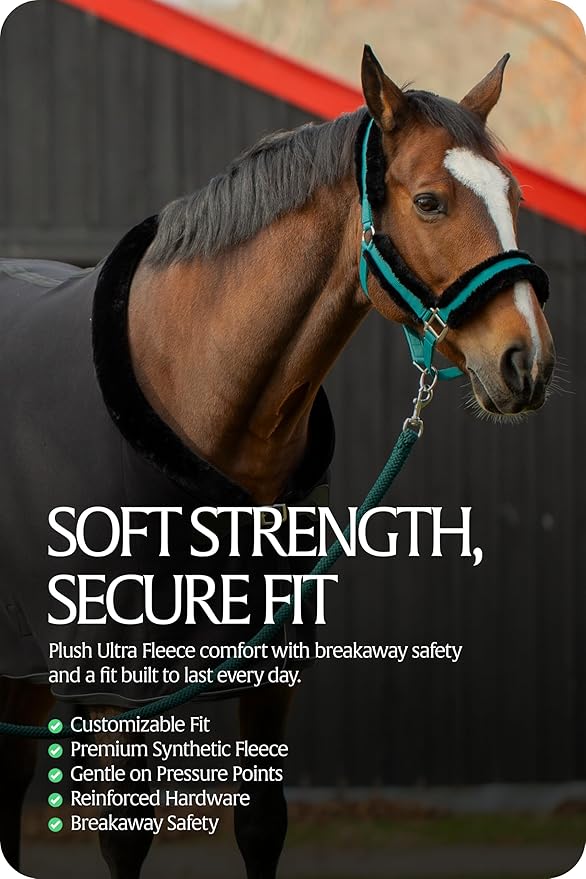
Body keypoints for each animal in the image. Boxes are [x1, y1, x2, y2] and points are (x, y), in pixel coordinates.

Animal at [0, 46, 554, 879]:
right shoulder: (120, 692)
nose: (528, 363)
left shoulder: (271, 679)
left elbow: (262, 824)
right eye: (429, 202)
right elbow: (126, 838)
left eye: (514, 195)